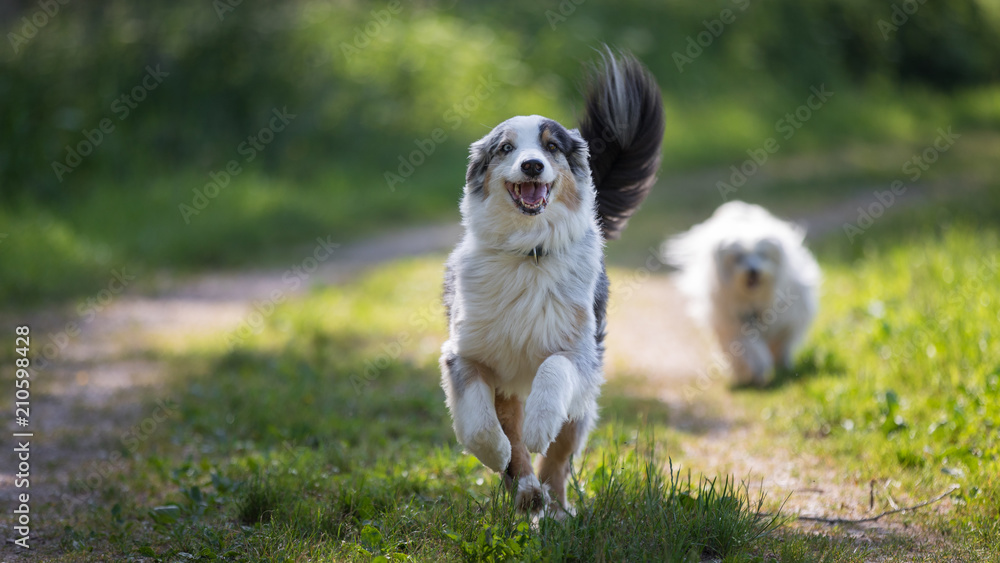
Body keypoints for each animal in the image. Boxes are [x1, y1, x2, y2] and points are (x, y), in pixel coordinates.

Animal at [664, 203, 820, 388]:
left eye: (762, 255)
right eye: (738, 258)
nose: (753, 271)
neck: (754, 300)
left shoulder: (788, 321)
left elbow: (782, 343)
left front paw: (782, 364)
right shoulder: (736, 327)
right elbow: (749, 350)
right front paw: (757, 369)